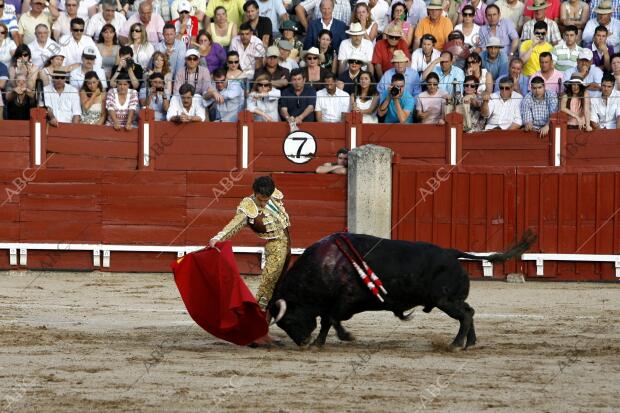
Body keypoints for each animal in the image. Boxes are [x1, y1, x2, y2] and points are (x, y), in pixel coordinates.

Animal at [268, 232, 536, 348]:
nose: (302, 342)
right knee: (470, 312)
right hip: (450, 300)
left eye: (287, 320)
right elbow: (327, 320)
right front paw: (323, 341)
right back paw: (470, 342)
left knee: (466, 315)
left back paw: (456, 344)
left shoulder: (343, 300)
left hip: (445, 300)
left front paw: (339, 338)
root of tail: (452, 253)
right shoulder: (333, 303)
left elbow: (331, 319)